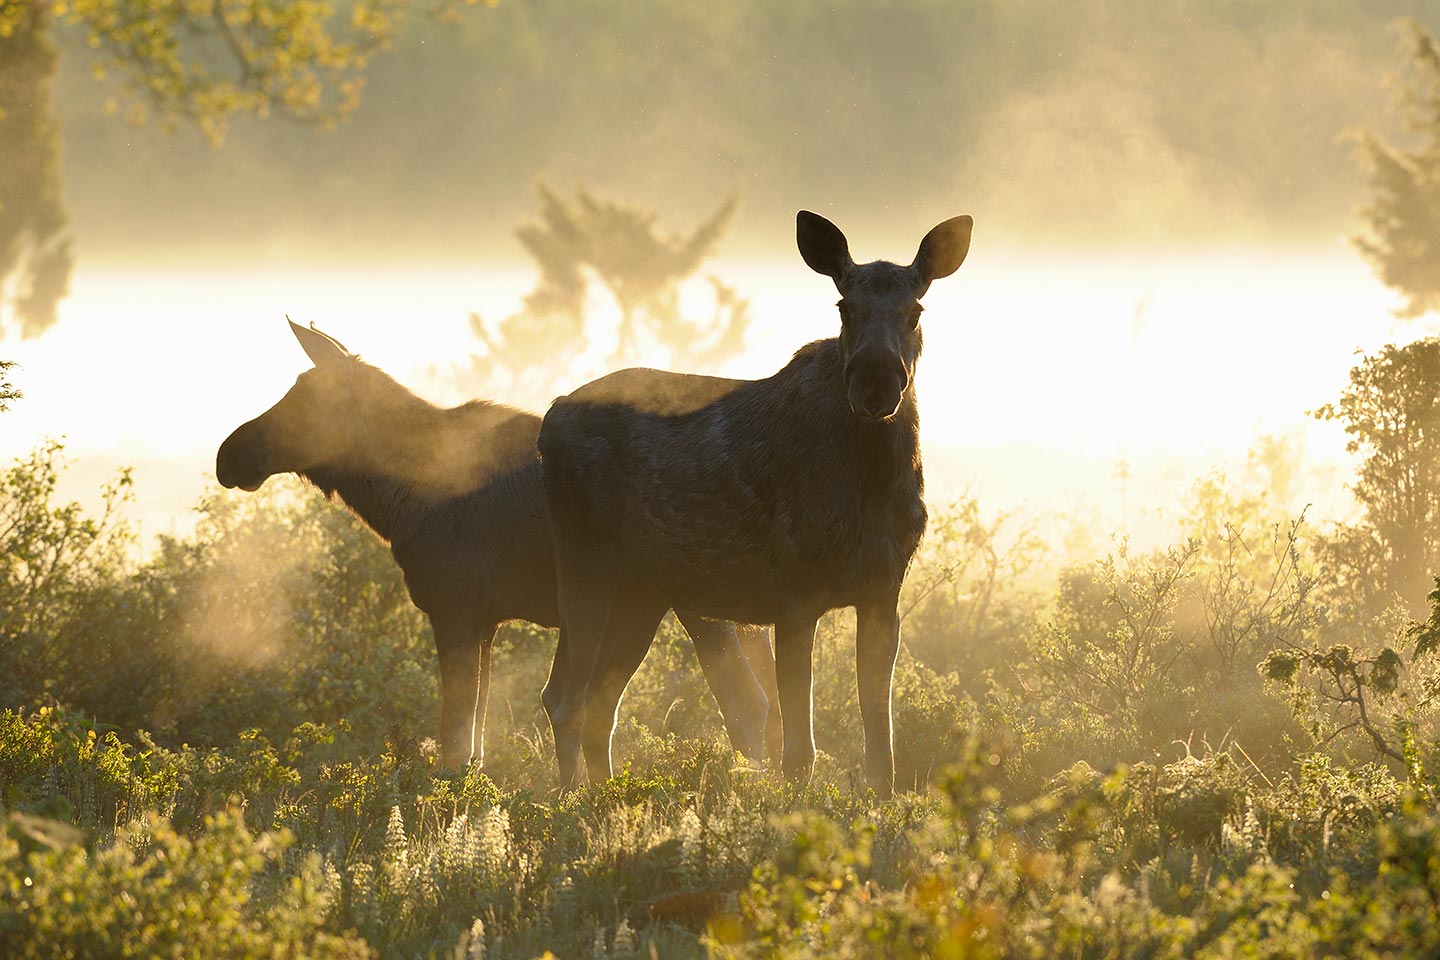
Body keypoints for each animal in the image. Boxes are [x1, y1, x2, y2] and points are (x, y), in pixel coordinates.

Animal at [213, 322, 777, 771]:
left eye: (306, 398)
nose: (228, 454)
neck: (395, 501)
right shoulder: (486, 622)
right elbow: (477, 746)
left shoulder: (454, 609)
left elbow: (454, 744)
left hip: (691, 598)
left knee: (745, 703)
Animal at [535, 210, 973, 794]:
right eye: (844, 307)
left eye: (915, 310)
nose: (875, 383)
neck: (873, 483)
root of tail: (550, 418)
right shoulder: (794, 596)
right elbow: (799, 752)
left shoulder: (884, 591)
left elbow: (882, 749)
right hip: (586, 564)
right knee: (566, 699)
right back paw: (570, 801)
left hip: (643, 592)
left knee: (598, 702)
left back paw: (603, 798)